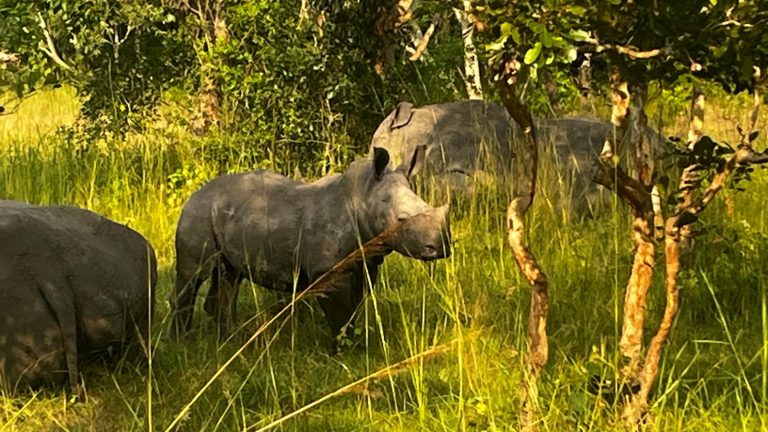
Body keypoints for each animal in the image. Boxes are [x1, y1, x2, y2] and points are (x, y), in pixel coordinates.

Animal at [170, 146, 451, 341]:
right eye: (401, 220)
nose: (442, 248)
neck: (363, 196)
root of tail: (194, 194)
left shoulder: (366, 262)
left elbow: (354, 306)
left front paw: (352, 343)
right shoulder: (326, 269)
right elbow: (339, 313)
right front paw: (341, 350)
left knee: (230, 274)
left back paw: (230, 339)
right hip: (197, 212)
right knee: (194, 276)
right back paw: (183, 340)